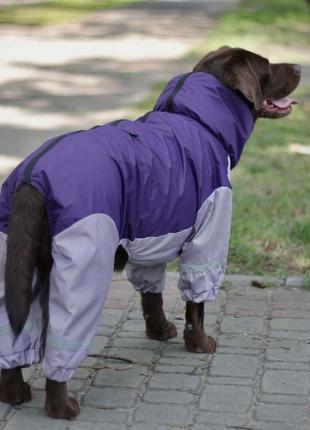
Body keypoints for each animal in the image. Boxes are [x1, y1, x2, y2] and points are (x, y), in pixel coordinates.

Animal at [0, 47, 300, 420]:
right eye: (268, 66)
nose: (299, 66)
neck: (197, 121)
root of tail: (31, 179)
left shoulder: (152, 237)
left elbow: (151, 294)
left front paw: (159, 332)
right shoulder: (209, 233)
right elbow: (196, 304)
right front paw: (200, 344)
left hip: (18, 267)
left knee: (12, 337)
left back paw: (15, 393)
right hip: (81, 267)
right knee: (64, 337)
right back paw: (61, 406)